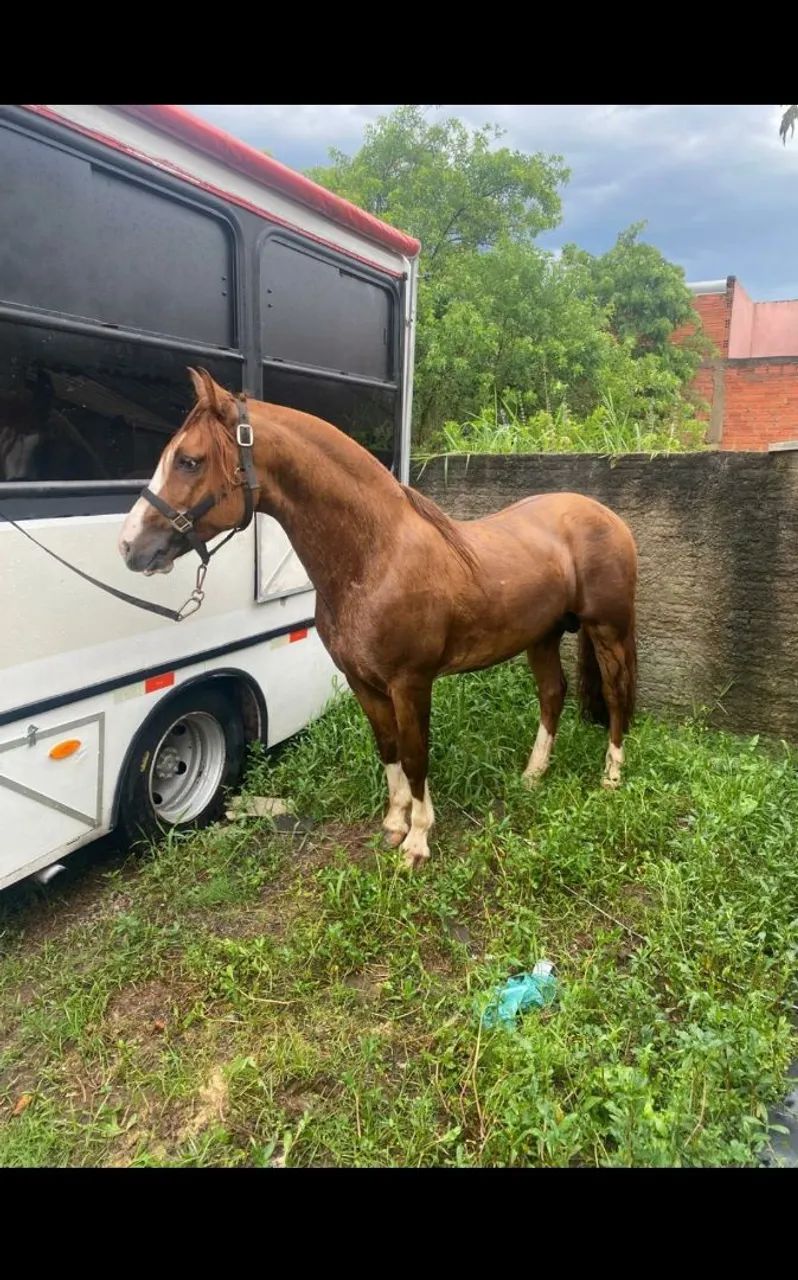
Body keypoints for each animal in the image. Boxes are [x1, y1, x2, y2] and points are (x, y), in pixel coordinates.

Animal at [119, 369, 638, 868]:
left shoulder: (410, 683)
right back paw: (533, 775)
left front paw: (418, 841)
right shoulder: (363, 682)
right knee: (552, 694)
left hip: (607, 629)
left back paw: (611, 777)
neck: (376, 558)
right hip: (542, 636)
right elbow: (388, 749)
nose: (129, 546)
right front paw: (393, 823)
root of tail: (607, 516)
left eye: (189, 460)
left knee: (615, 695)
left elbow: (415, 754)